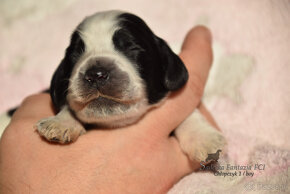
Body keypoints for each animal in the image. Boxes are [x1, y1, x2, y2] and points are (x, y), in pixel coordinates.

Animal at [34, 11, 227, 162]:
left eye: (131, 47)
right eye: (75, 54)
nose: (96, 74)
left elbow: (188, 112)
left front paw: (205, 138)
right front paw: (61, 122)